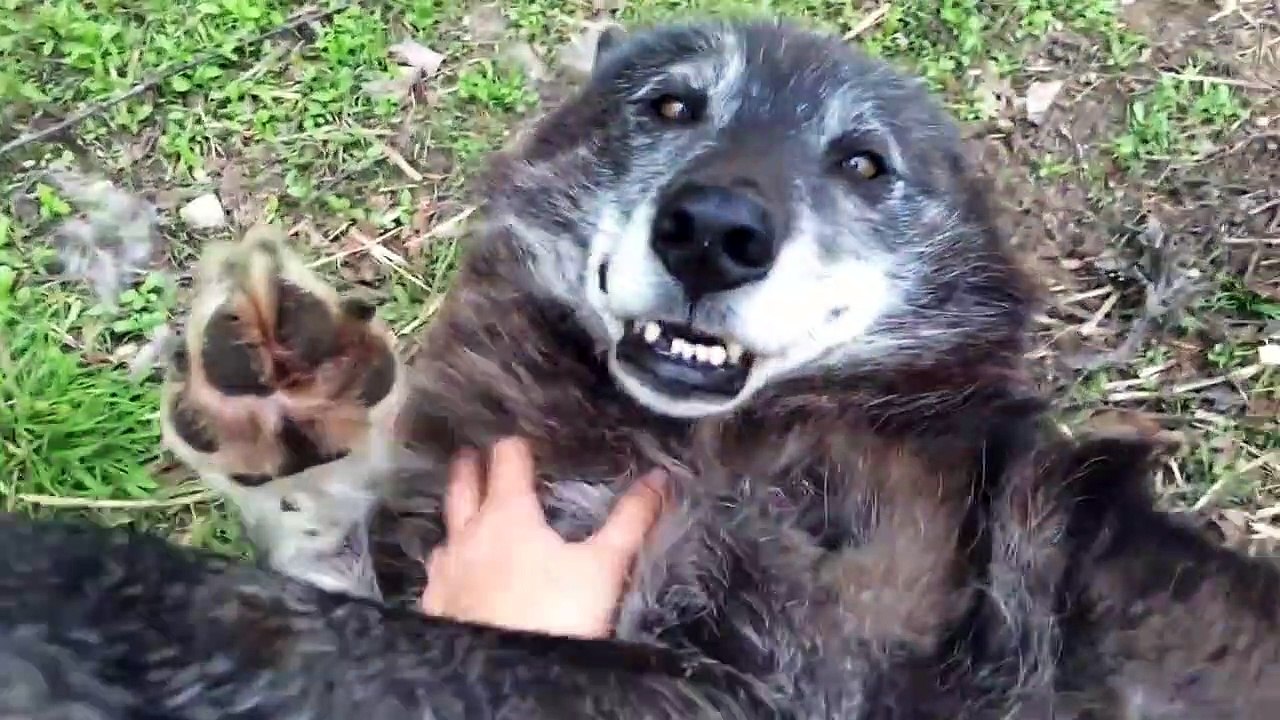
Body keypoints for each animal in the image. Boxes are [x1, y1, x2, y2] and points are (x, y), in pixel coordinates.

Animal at [2, 17, 1279, 720]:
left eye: (862, 164)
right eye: (671, 105)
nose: (713, 230)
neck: (683, 443)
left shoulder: (765, 687)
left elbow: (358, 640)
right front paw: (288, 405)